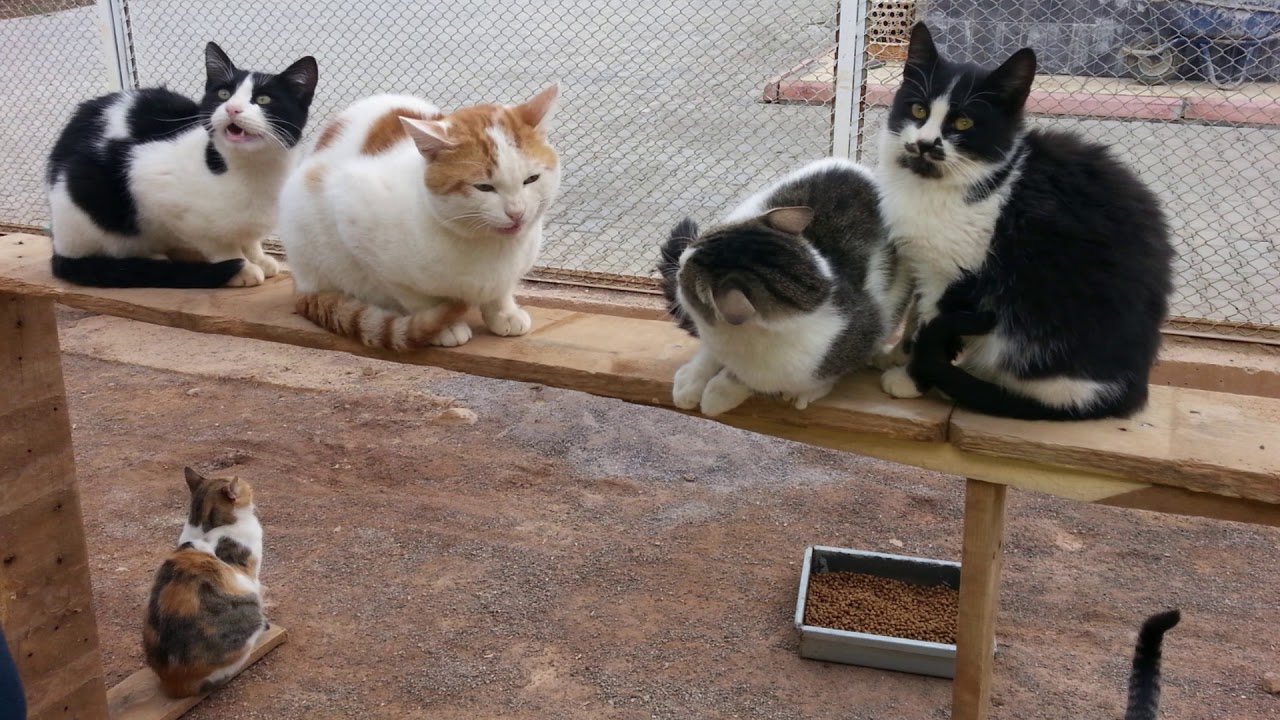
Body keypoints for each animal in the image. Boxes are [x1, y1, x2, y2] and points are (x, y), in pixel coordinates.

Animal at [47, 42, 318, 288]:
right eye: (223, 94)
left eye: (263, 99)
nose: (232, 108)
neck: (254, 170)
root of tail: (58, 245)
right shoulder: (151, 183)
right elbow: (218, 242)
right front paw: (240, 267)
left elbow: (248, 237)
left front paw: (258, 258)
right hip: (86, 189)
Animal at [278, 85, 560, 350]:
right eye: (484, 187)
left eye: (531, 179)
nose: (517, 212)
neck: (491, 247)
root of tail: (299, 282)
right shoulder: (355, 221)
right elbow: (415, 297)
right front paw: (443, 326)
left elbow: (502, 290)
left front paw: (504, 312)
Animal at [658, 158, 907, 417]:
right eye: (698, 240)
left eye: (686, 281)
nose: (680, 263)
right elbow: (708, 354)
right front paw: (691, 381)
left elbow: (754, 380)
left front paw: (720, 392)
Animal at [875, 23, 1175, 421]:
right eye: (918, 108)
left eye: (964, 122)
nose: (925, 143)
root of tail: (1131, 387)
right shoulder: (923, 259)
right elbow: (916, 315)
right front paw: (898, 354)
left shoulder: (960, 270)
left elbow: (933, 322)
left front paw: (912, 379)